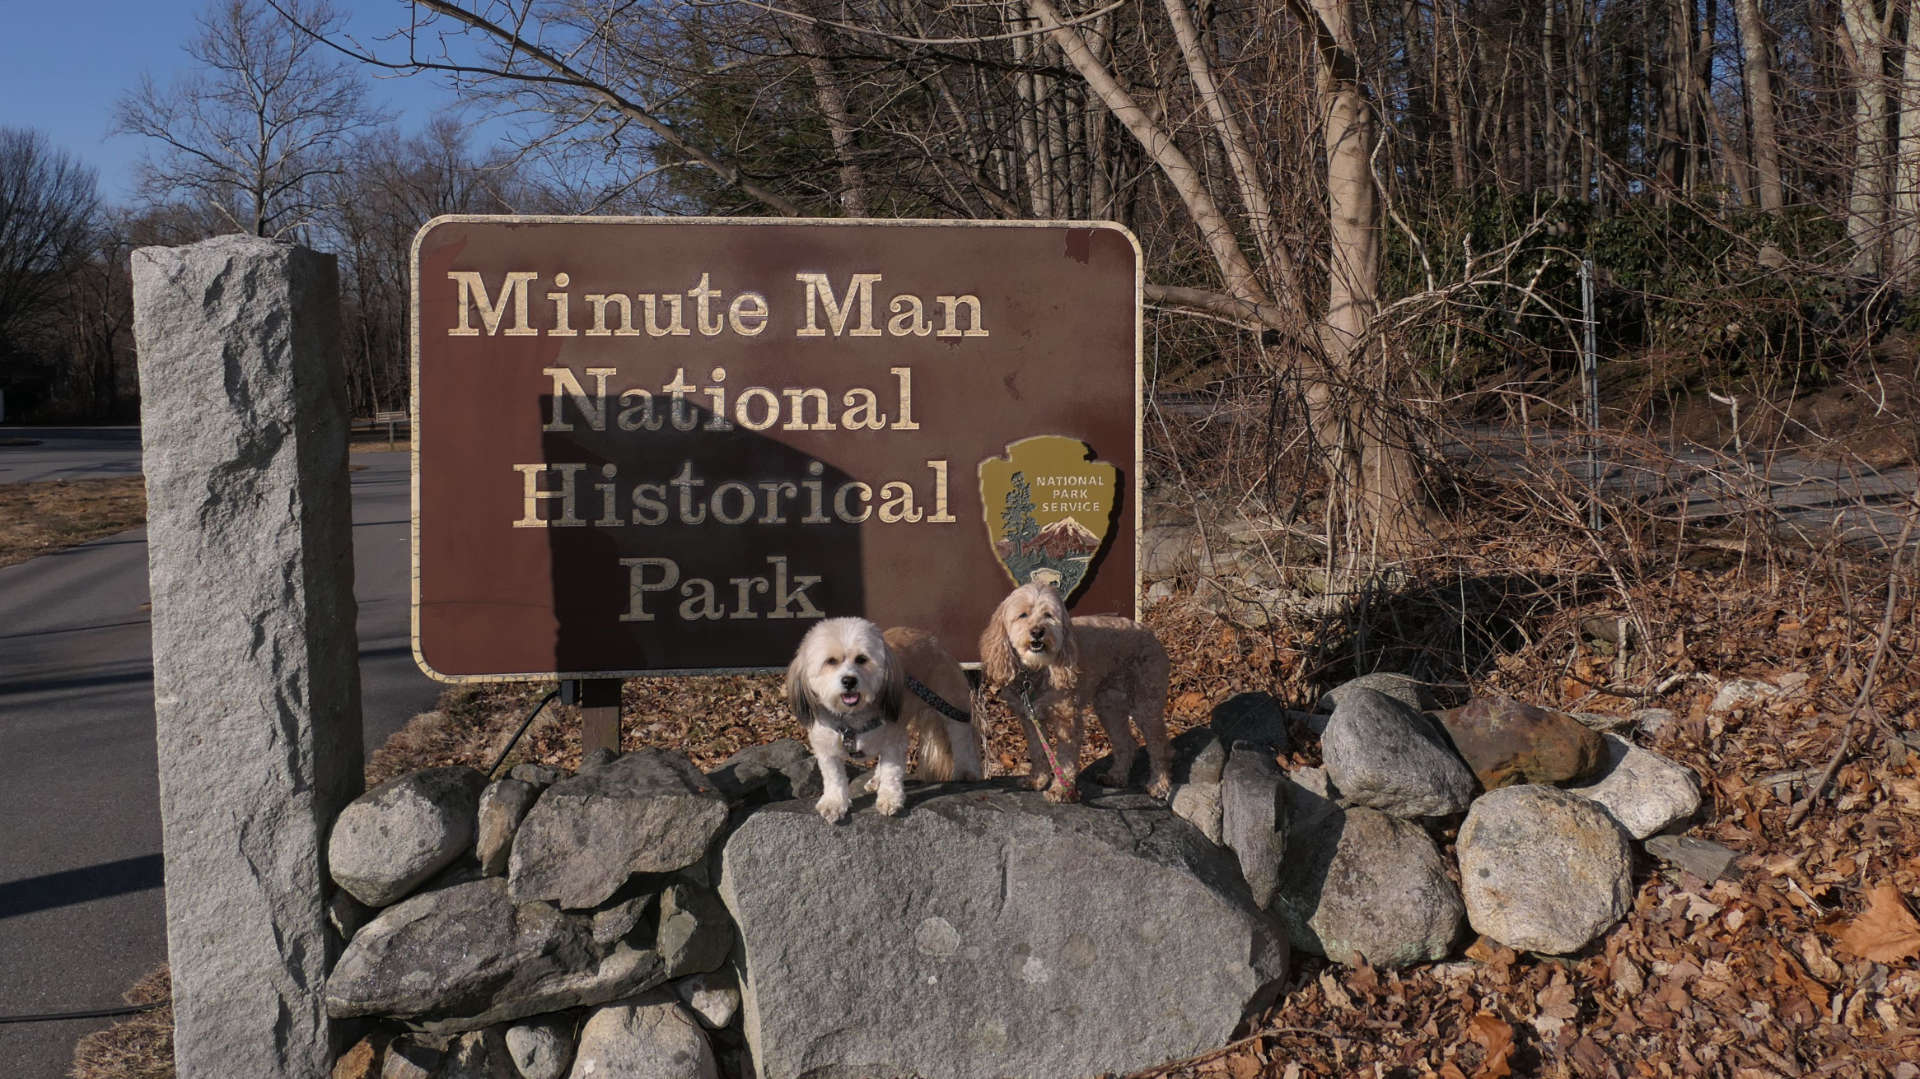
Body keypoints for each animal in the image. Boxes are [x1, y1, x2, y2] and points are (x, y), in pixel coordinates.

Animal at [783, 618, 983, 817]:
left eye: (861, 659)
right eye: (830, 661)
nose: (849, 680)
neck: (852, 719)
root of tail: (934, 641)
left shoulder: (894, 741)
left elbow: (891, 772)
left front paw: (889, 799)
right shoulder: (825, 746)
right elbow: (834, 776)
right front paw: (834, 802)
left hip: (952, 703)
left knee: (961, 738)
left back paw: (966, 770)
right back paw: (875, 780)